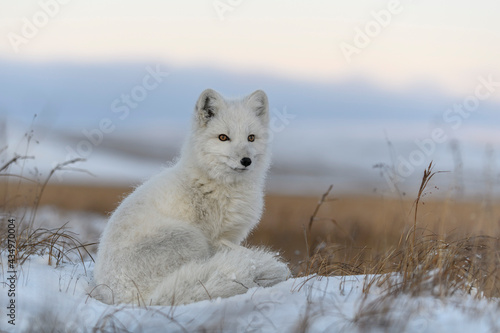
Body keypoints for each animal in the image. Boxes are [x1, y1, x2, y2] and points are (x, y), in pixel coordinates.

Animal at [93, 89, 290, 306]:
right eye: (223, 137)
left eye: (251, 138)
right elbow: (243, 252)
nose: (246, 161)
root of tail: (142, 299)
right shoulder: (214, 238)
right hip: (191, 237)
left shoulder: (230, 236)